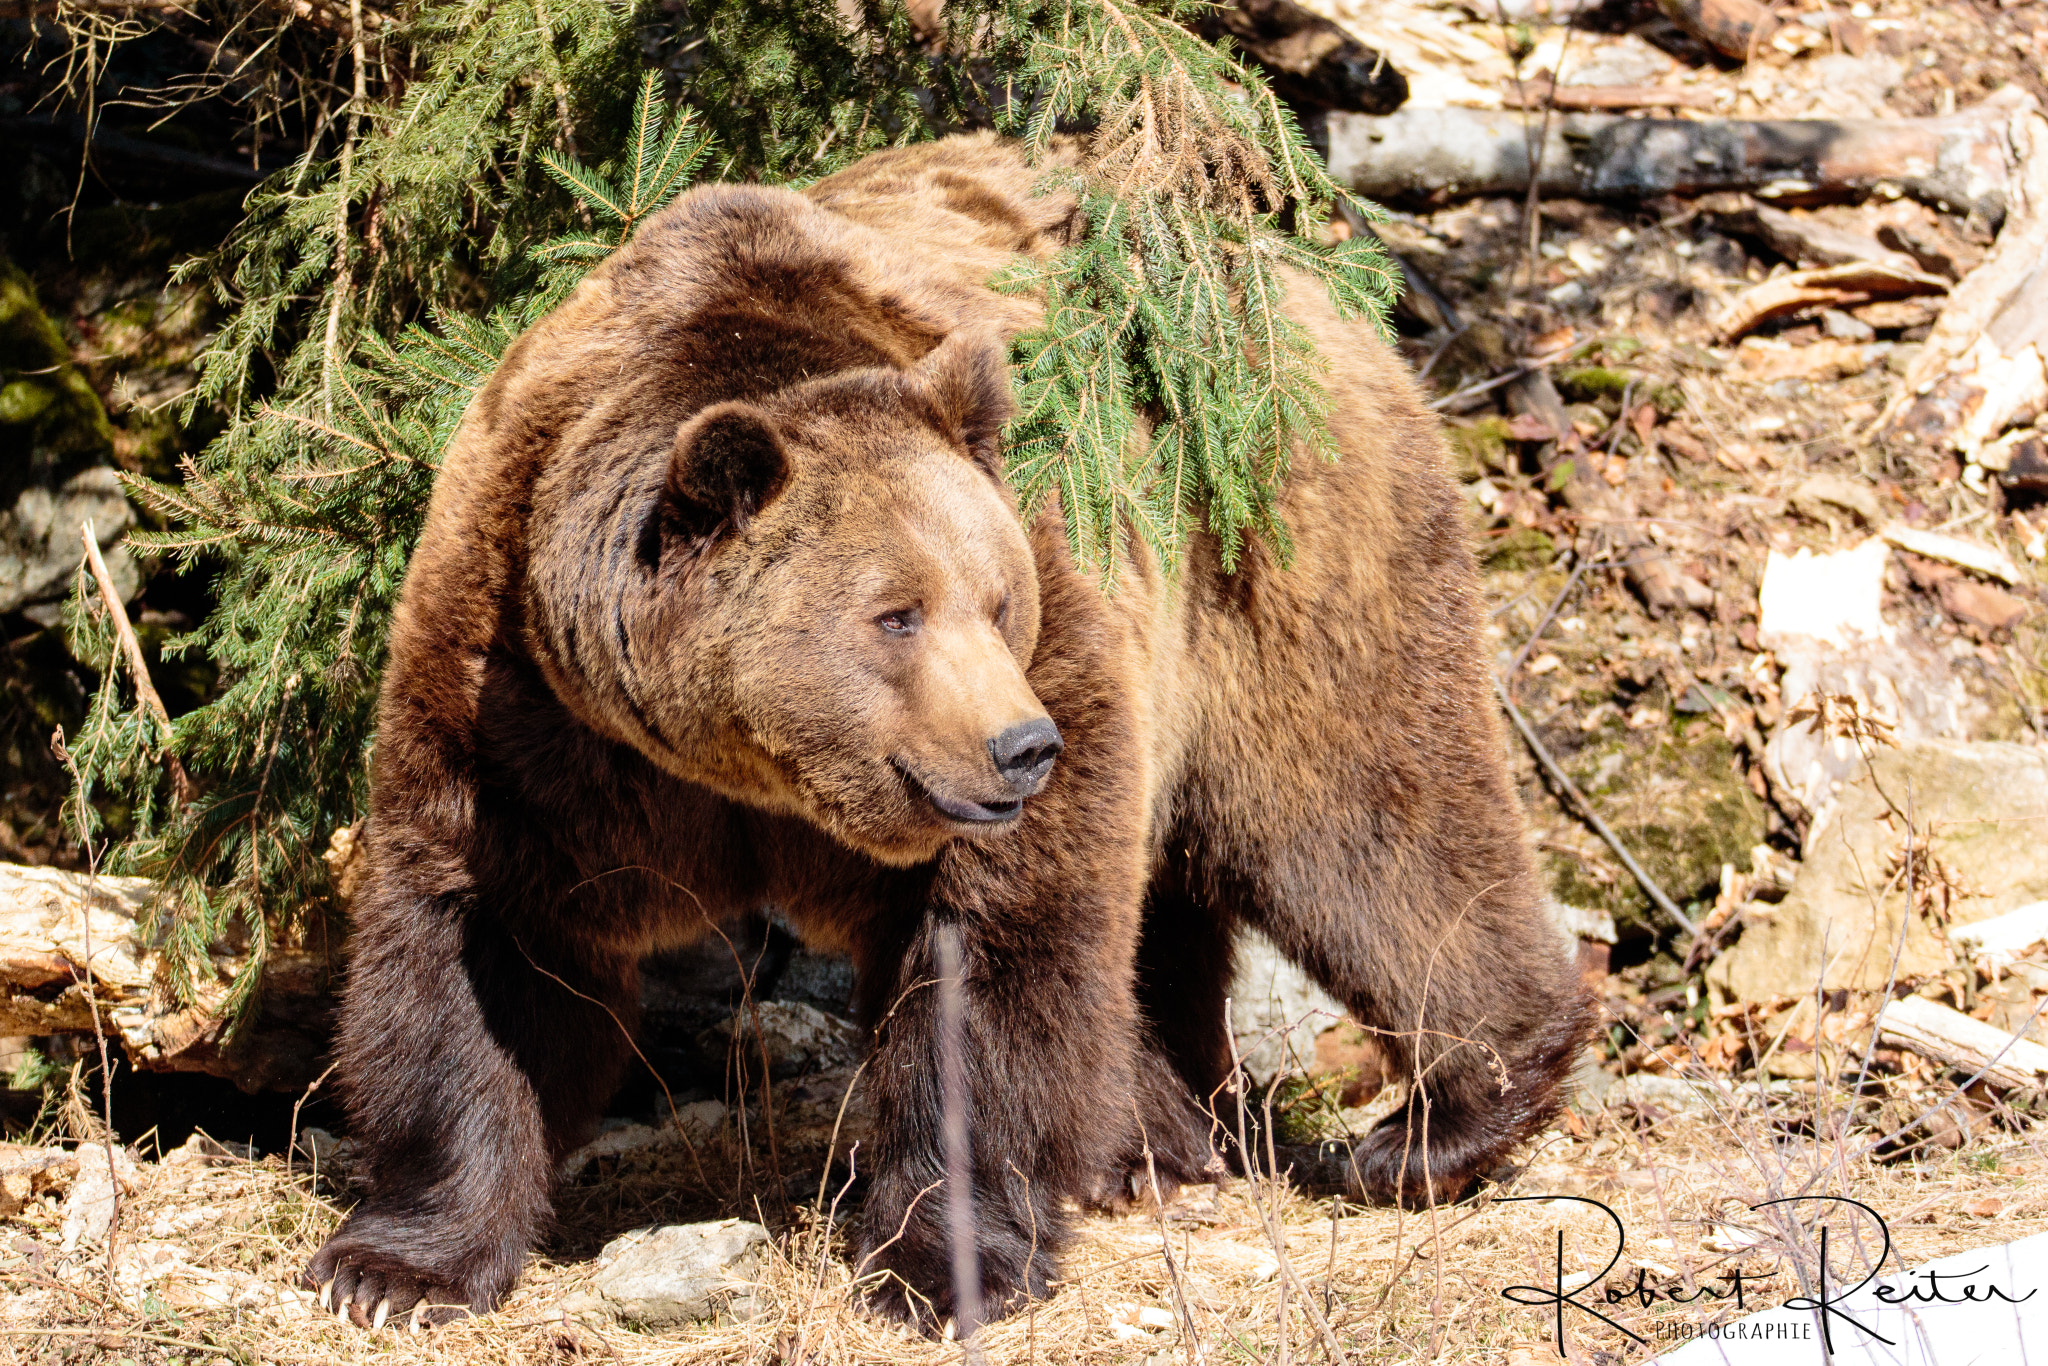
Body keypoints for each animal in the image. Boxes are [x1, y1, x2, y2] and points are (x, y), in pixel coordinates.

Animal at [305, 132, 1591, 1332]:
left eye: (995, 594)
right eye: (896, 612)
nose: (1022, 745)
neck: (745, 770)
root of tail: (1280, 256)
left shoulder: (1057, 631)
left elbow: (990, 964)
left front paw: (941, 1262)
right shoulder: (526, 703)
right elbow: (484, 950)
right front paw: (395, 1267)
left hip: (1267, 551)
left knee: (1358, 817)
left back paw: (1442, 1116)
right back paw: (1160, 1137)